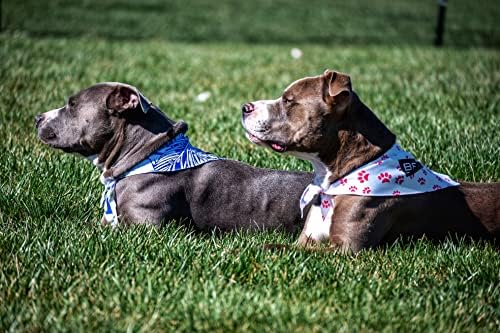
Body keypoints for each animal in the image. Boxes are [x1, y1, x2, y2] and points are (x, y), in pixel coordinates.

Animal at [240, 70, 498, 252]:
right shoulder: (306, 239)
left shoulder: (346, 248)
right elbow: (275, 246)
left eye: (288, 101)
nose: (245, 106)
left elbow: (277, 250)